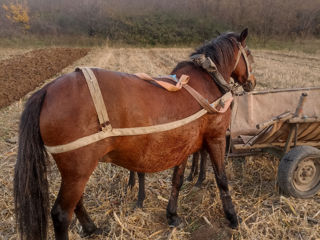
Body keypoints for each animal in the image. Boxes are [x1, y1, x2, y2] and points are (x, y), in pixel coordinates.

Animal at [14, 28, 255, 240]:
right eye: (250, 54)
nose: (252, 83)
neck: (206, 82)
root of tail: (47, 89)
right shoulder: (215, 139)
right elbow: (222, 179)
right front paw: (232, 217)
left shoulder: (183, 144)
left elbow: (177, 180)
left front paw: (172, 215)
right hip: (78, 168)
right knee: (61, 214)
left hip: (75, 170)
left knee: (76, 202)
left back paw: (92, 228)